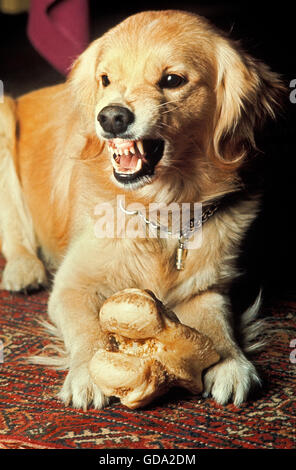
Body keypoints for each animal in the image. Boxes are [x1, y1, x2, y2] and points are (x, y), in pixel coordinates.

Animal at [0, 9, 284, 410]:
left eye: (172, 80)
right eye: (106, 79)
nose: (111, 117)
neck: (162, 210)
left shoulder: (208, 286)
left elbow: (216, 321)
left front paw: (231, 363)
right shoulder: (72, 285)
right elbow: (88, 328)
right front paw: (90, 373)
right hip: (3, 116)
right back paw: (24, 269)